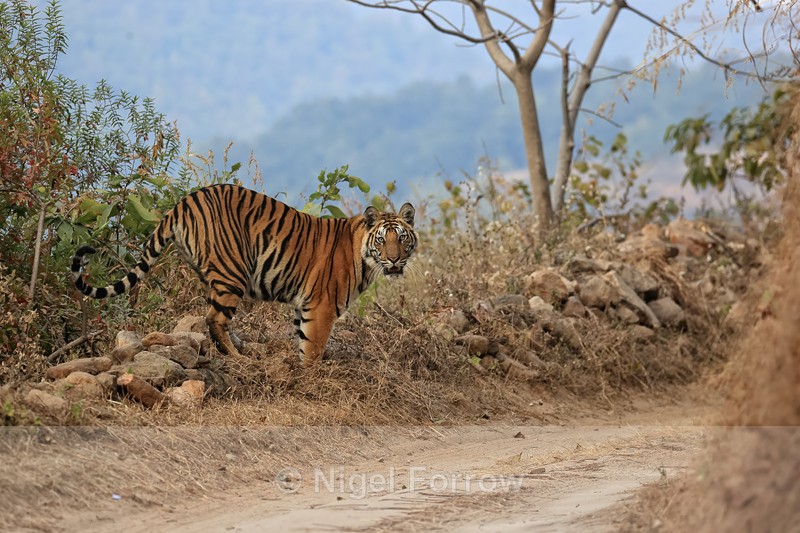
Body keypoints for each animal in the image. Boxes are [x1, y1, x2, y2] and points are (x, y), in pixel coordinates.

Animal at [70, 183, 417, 366]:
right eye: (382, 240)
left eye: (402, 238)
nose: (394, 259)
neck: (364, 255)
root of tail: (182, 204)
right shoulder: (321, 307)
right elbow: (313, 348)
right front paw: (311, 375)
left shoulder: (303, 306)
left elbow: (301, 339)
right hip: (232, 271)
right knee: (214, 319)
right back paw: (239, 358)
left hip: (210, 273)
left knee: (214, 315)